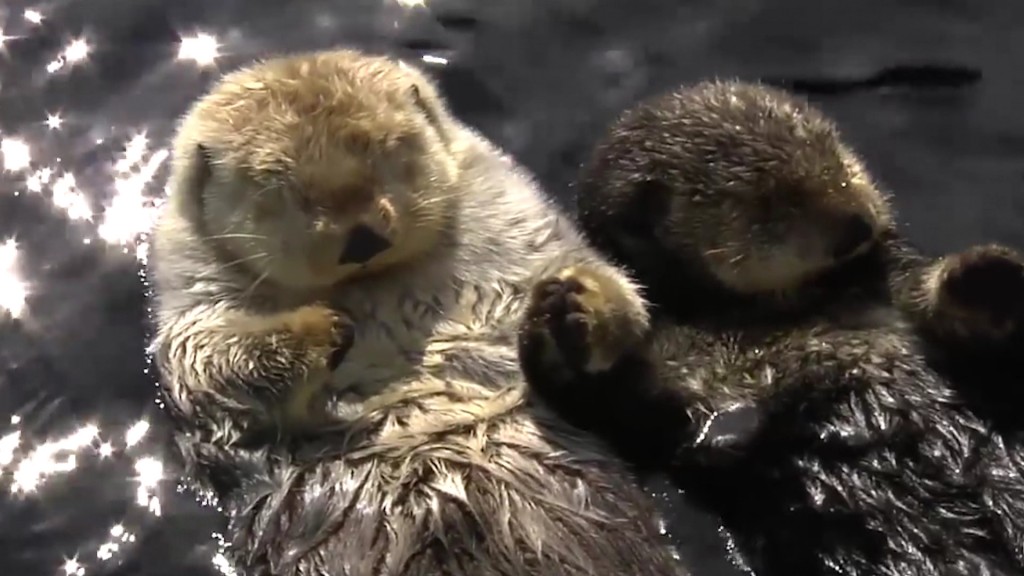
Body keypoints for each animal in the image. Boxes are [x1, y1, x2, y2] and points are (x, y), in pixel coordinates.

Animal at [147, 49, 693, 576]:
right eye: (282, 189)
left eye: (389, 151)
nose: (362, 237)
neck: (376, 289)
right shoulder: (195, 304)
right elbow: (214, 366)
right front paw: (320, 326)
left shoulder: (517, 225)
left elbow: (602, 291)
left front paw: (575, 307)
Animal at [518, 80, 1024, 576]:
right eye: (772, 204)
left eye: (838, 156)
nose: (860, 223)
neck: (791, 311)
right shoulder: (663, 391)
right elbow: (603, 403)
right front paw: (569, 309)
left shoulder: (895, 283)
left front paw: (986, 276)